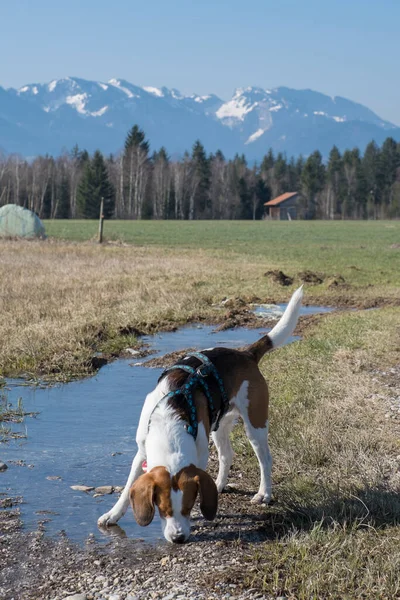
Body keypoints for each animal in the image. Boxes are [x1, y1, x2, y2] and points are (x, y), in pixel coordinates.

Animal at [98, 286, 302, 544]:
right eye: (161, 509)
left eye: (186, 508)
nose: (178, 538)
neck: (169, 420)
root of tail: (245, 354)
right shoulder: (141, 451)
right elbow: (126, 489)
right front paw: (112, 514)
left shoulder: (200, 452)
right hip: (219, 425)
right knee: (226, 454)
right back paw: (220, 485)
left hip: (255, 423)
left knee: (265, 458)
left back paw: (263, 493)